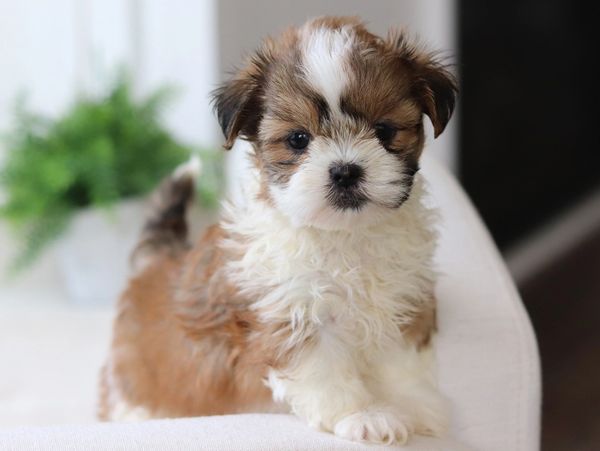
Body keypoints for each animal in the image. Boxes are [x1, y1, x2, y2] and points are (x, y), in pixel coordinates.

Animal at [99, 15, 454, 446]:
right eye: (299, 140)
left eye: (385, 131)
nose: (345, 170)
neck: (345, 235)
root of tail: (158, 261)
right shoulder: (290, 312)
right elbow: (324, 369)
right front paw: (362, 415)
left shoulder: (404, 298)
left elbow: (402, 359)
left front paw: (415, 405)